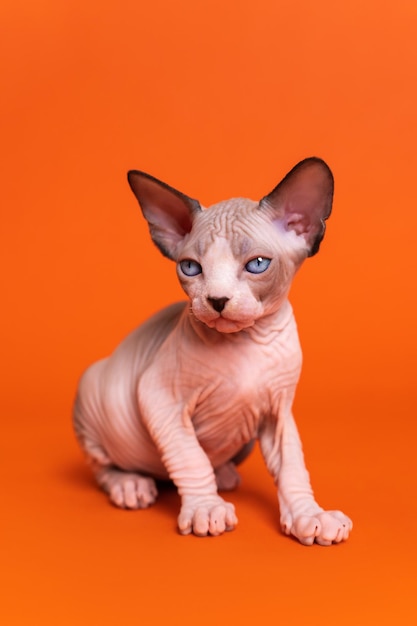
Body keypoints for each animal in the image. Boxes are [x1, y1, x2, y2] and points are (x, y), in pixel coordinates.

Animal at [74, 158, 352, 544]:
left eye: (257, 264)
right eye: (191, 267)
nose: (217, 300)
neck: (248, 341)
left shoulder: (278, 411)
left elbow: (293, 467)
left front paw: (308, 515)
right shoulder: (159, 397)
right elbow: (190, 457)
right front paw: (205, 508)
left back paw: (223, 474)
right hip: (91, 388)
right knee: (102, 466)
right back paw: (129, 484)